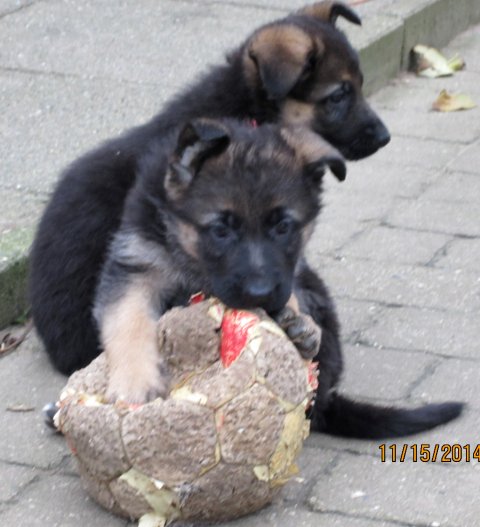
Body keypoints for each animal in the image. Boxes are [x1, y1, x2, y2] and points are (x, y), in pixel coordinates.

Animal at [92, 118, 462, 439]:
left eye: (283, 227)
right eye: (221, 231)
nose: (260, 294)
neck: (191, 261)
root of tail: (327, 404)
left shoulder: (291, 272)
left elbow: (291, 289)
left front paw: (297, 323)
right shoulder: (135, 266)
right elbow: (128, 320)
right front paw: (135, 382)